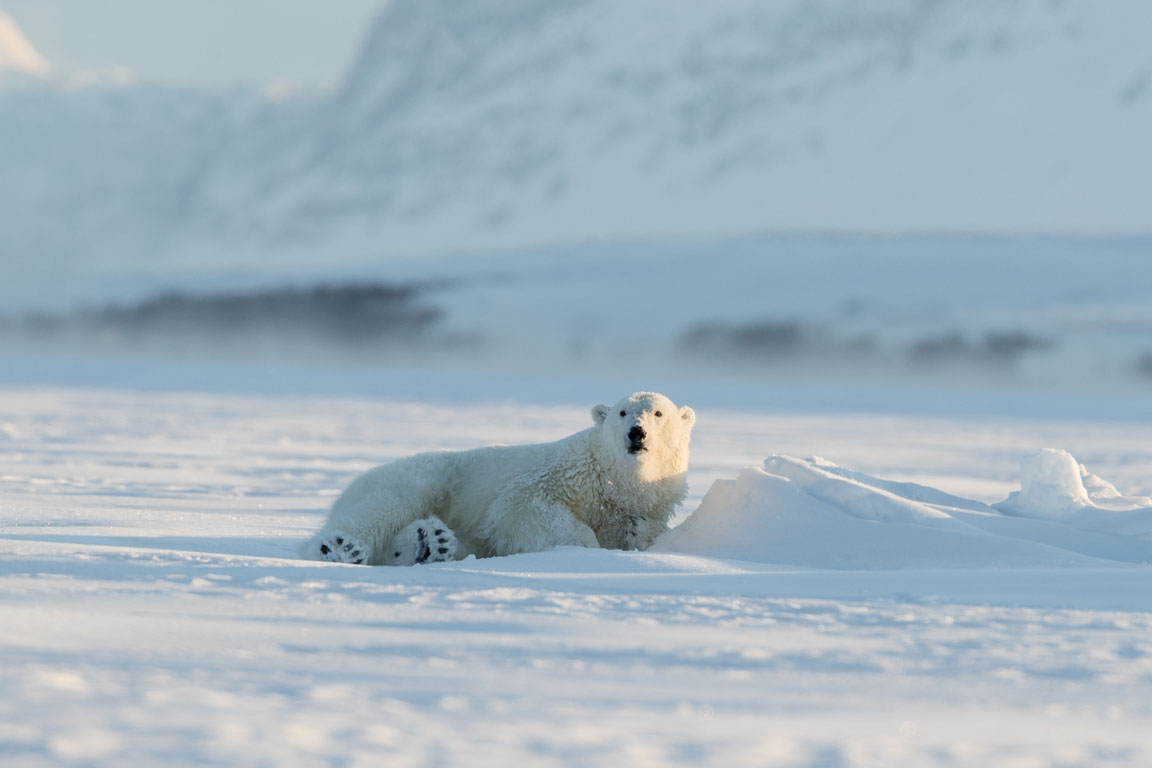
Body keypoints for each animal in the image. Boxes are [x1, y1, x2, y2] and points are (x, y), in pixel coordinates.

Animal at [301, 393, 691, 568]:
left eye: (659, 413)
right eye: (622, 412)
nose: (636, 433)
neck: (616, 482)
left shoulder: (651, 503)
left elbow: (645, 531)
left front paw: (637, 532)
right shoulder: (562, 476)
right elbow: (521, 506)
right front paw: (582, 549)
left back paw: (431, 543)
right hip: (422, 477)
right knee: (383, 507)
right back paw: (338, 547)